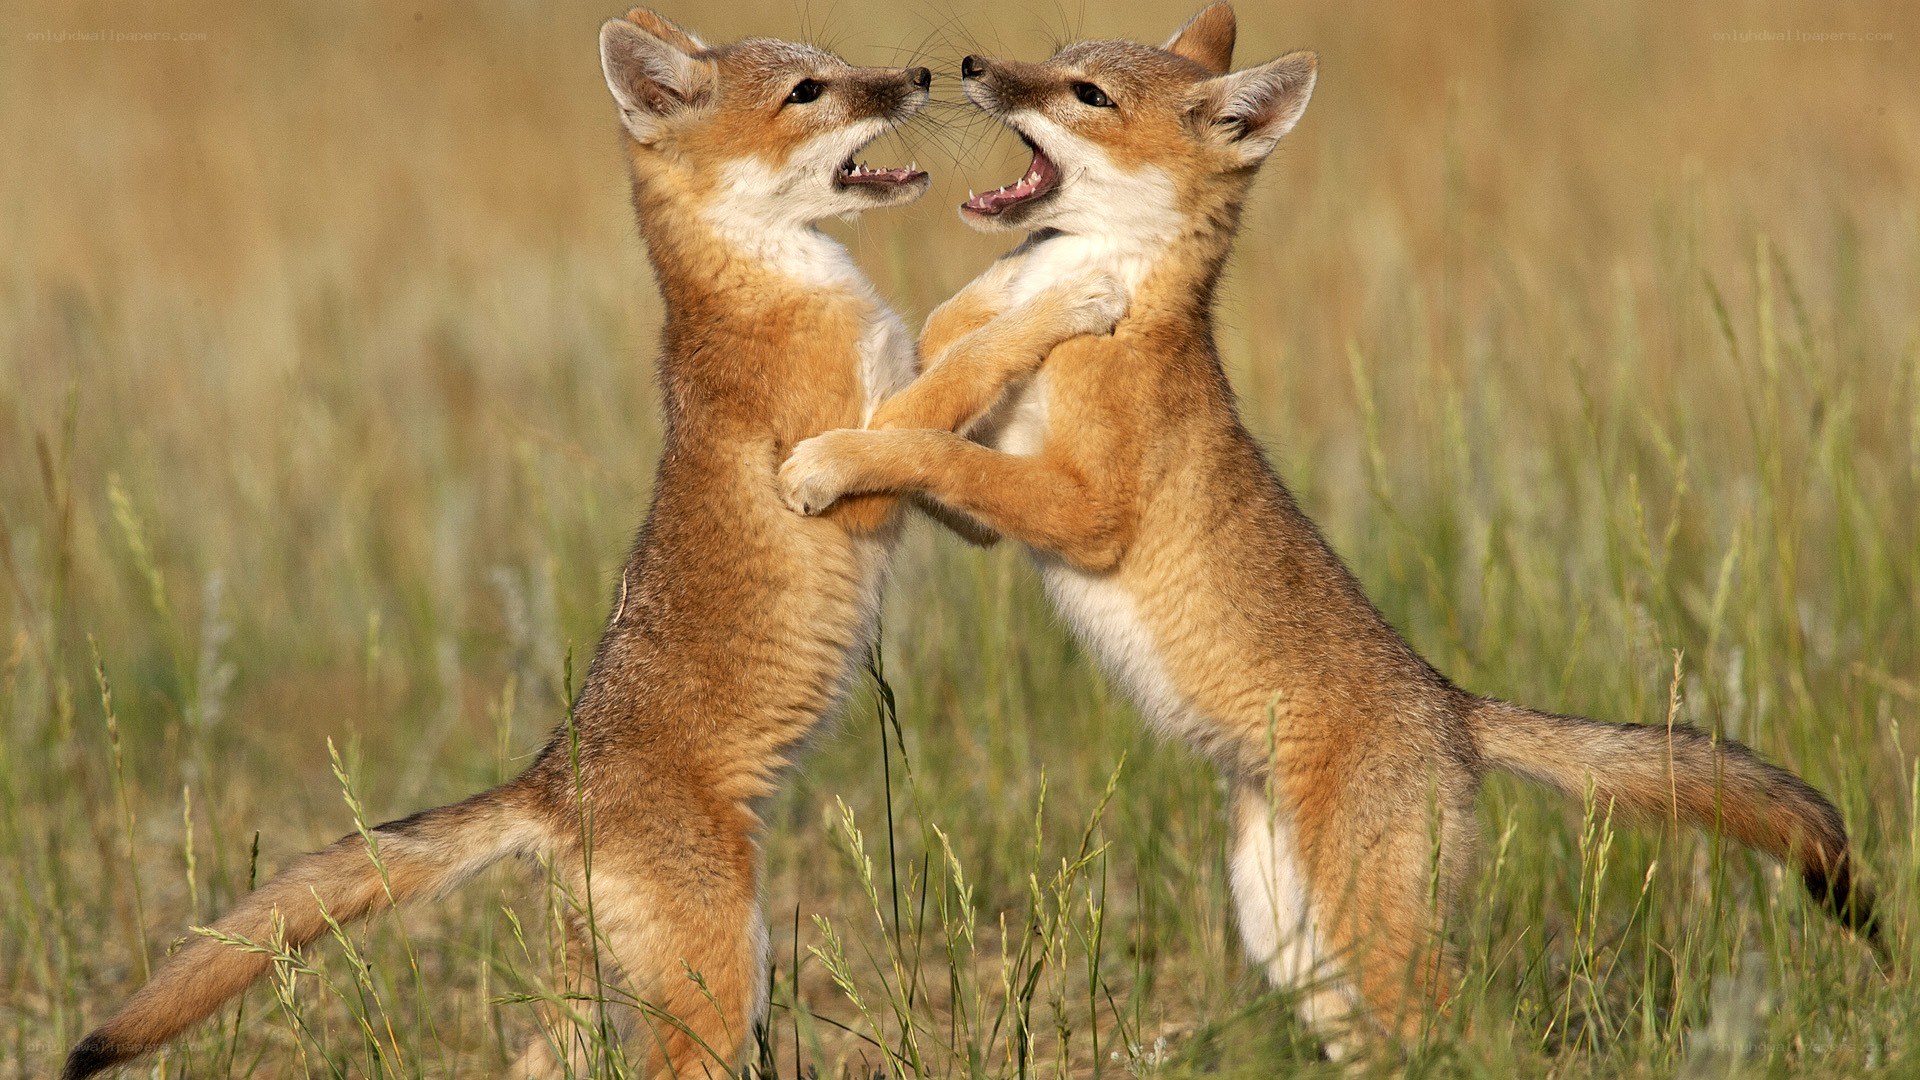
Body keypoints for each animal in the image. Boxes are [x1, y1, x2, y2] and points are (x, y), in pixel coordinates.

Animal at [61, 11, 1122, 1079]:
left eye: (835, 67)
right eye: (808, 92)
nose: (916, 76)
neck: (775, 290)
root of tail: (548, 789)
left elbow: (958, 406)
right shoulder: (839, 467)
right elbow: (965, 367)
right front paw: (1068, 303)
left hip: (609, 997)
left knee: (538, 1058)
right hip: (723, 984)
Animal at [779, 0, 1883, 1053]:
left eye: (1086, 93)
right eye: (1053, 62)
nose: (970, 67)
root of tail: (1453, 707)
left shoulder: (1087, 510)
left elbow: (941, 443)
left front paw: (831, 459)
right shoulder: (997, 503)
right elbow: (940, 394)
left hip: (1369, 944)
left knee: (1474, 1039)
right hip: (1294, 947)